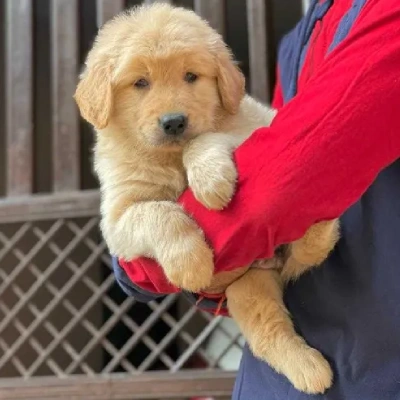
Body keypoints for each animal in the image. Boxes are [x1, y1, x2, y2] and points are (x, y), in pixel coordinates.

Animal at [74, 3, 338, 394]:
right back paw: (310, 370)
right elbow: (159, 212)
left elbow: (205, 139)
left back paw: (321, 227)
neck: (168, 158)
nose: (174, 122)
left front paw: (210, 182)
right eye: (140, 82)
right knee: (269, 330)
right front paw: (191, 264)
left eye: (190, 76)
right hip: (248, 288)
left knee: (307, 253)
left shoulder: (257, 127)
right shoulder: (119, 217)